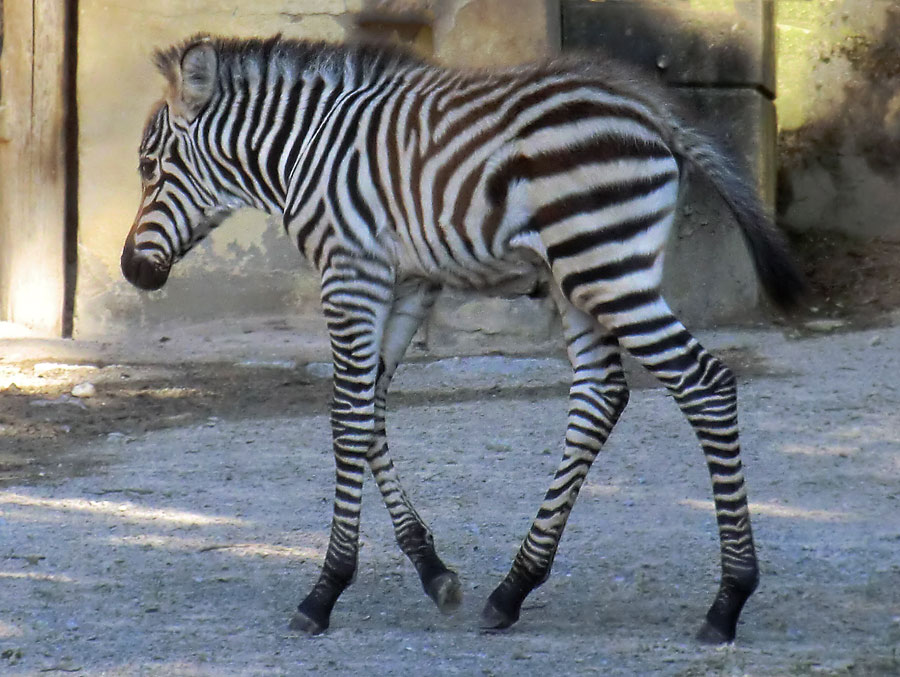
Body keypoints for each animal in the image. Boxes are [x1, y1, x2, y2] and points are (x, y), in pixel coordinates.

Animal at [119, 34, 800, 640]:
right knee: (600, 395)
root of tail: (643, 106)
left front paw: (325, 590)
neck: (305, 152)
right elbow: (369, 410)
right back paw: (514, 588)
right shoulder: (408, 282)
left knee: (704, 383)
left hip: (604, 267)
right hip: (579, 277)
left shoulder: (350, 272)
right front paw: (432, 570)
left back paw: (728, 600)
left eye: (149, 167)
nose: (130, 271)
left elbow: (346, 415)